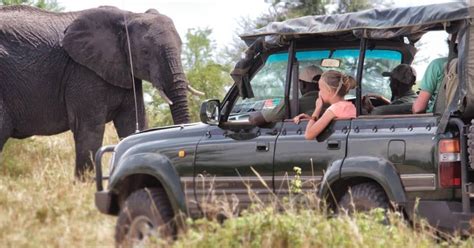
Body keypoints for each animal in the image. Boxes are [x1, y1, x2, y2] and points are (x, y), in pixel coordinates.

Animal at [0, 4, 202, 178]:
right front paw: (86, 186)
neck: (128, 16)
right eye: (145, 52)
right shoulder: (82, 71)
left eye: (182, 47)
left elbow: (132, 124)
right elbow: (89, 128)